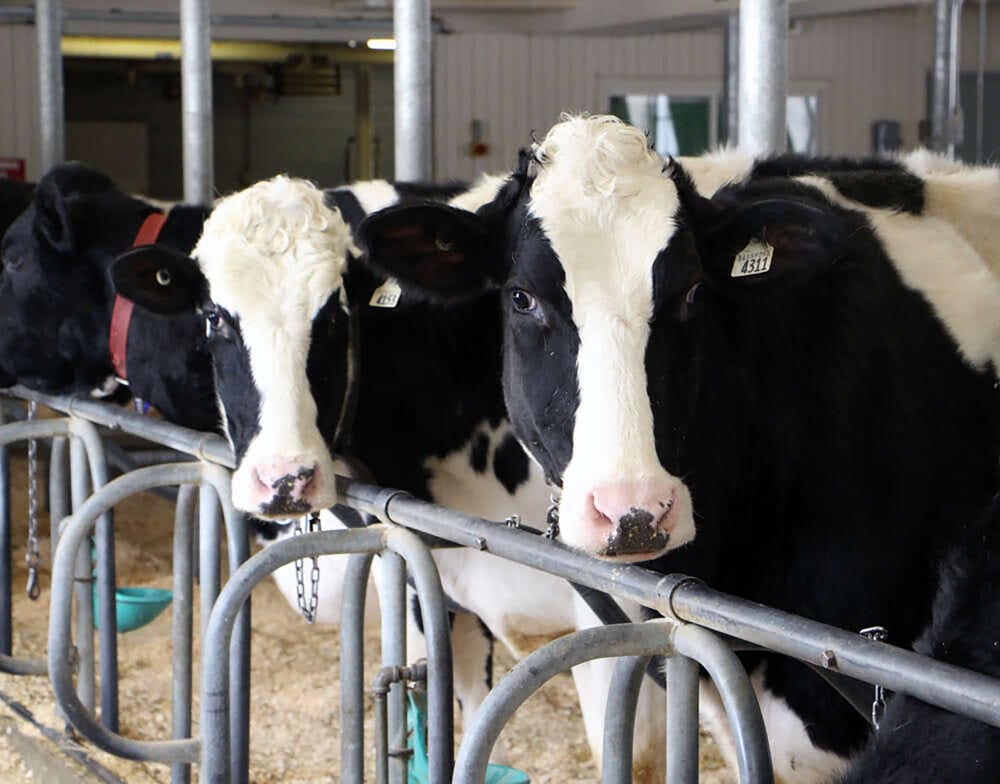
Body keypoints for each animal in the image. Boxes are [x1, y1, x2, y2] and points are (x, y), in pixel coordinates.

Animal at [111, 173, 667, 780]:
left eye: (333, 318)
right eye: (215, 316)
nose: (284, 481)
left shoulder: (613, 611)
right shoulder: (440, 578)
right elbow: (462, 706)